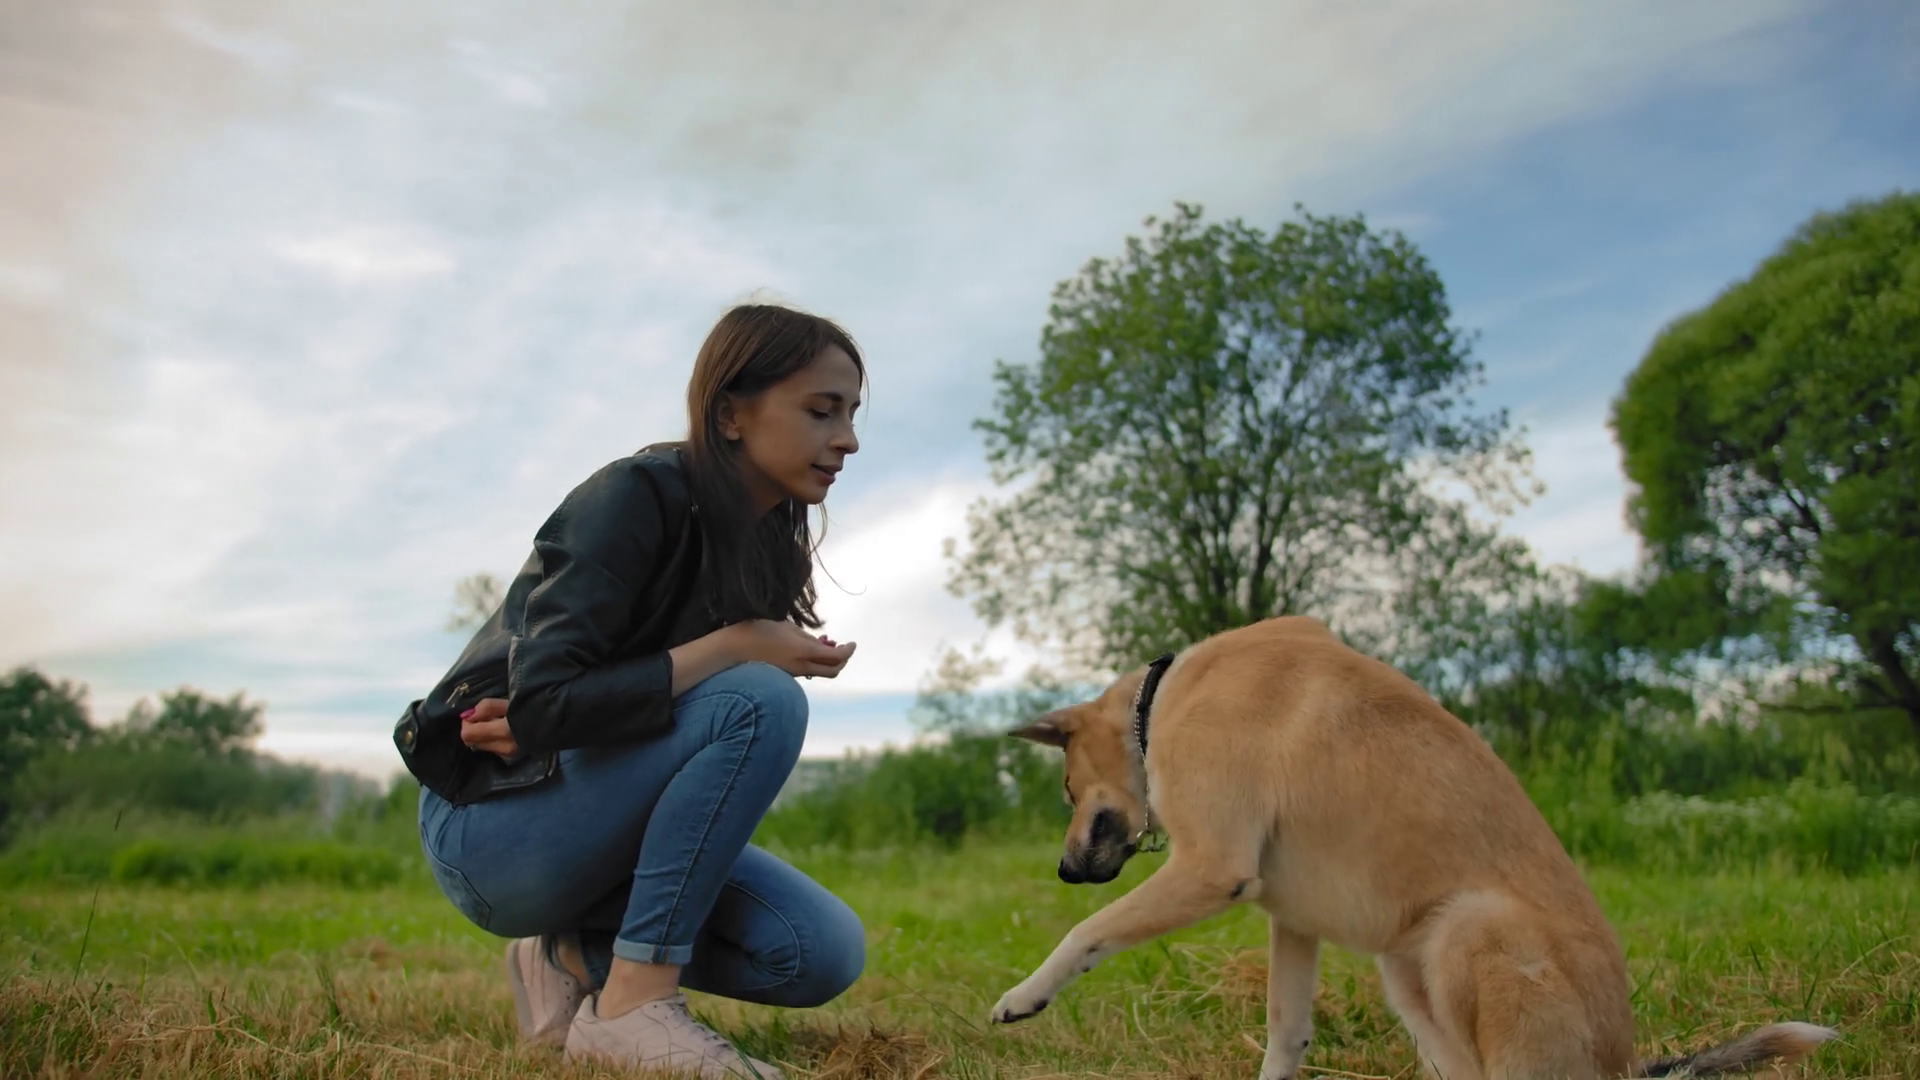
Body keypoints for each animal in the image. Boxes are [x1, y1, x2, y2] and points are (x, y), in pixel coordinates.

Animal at [989, 616, 1837, 1080]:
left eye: (1067, 789)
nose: (1064, 869)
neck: (1160, 700)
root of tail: (1622, 1063)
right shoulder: (1292, 921)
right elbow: (1285, 1033)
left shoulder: (1207, 869)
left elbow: (1086, 933)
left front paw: (1023, 995)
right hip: (1408, 969)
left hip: (1470, 930)